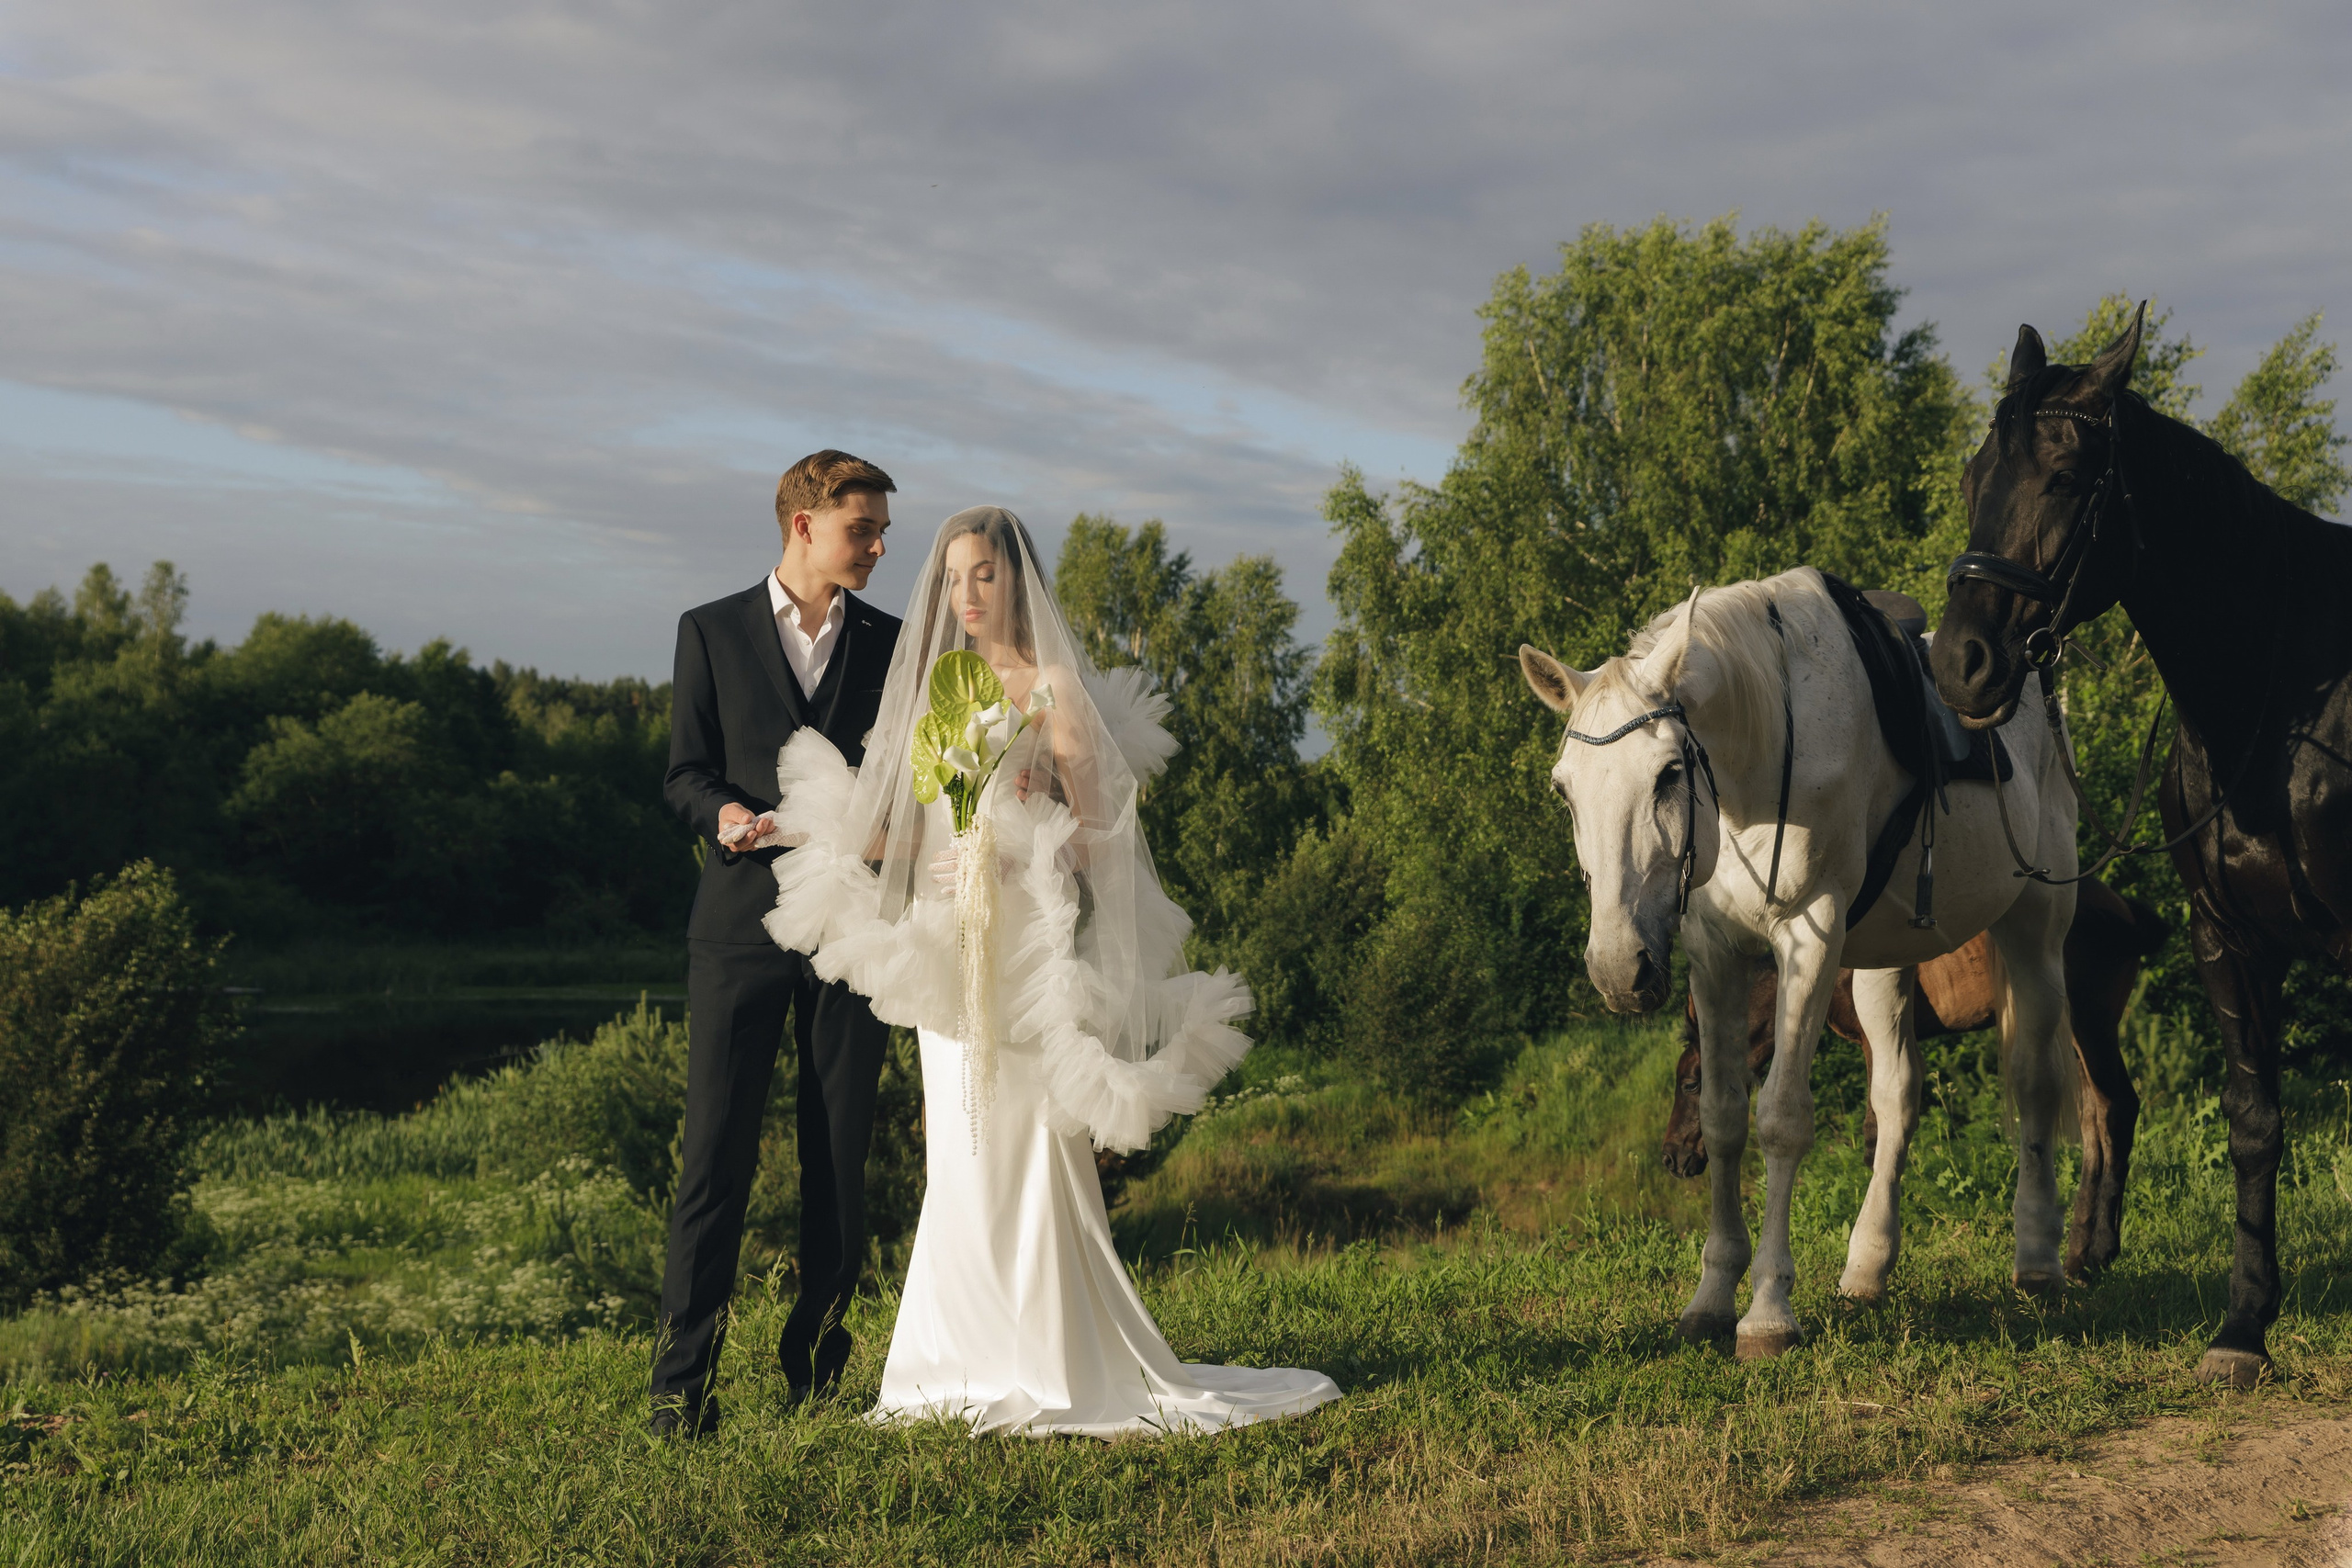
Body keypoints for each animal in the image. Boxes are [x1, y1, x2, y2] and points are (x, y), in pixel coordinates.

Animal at [1521, 567, 2079, 1358]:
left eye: (1668, 775)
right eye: (1563, 787)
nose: (1615, 969)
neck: (1754, 761)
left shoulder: (1808, 942)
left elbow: (1781, 1118)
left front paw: (1767, 1312)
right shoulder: (1714, 953)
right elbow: (1725, 1115)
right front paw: (1710, 1297)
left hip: (2036, 924)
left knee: (2035, 1080)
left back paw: (2037, 1257)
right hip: (1884, 962)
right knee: (1897, 1095)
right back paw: (1868, 1262)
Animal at [1660, 877, 2168, 1281]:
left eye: (1691, 1084)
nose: (1672, 1158)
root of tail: (2127, 912)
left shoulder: (1874, 1038)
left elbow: (1875, 1138)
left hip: (2090, 1022)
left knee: (2117, 1108)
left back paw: (2097, 1251)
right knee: (2093, 1119)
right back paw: (2081, 1251)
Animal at [1930, 306, 2352, 1388]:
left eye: (2065, 478)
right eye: (1974, 479)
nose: (1962, 665)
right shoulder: (2225, 941)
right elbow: (2253, 1123)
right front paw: (2244, 1328)